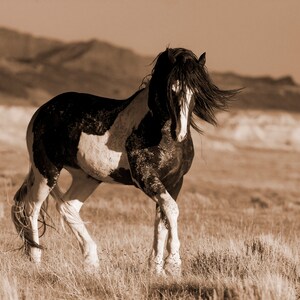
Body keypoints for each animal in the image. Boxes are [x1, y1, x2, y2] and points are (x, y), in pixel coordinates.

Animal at [10, 47, 238, 276]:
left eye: (196, 92)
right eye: (171, 89)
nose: (179, 133)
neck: (154, 128)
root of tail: (43, 110)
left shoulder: (174, 182)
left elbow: (163, 219)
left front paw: (156, 269)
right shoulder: (146, 178)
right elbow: (172, 210)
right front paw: (173, 265)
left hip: (86, 177)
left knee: (67, 207)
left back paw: (92, 262)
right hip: (46, 172)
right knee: (31, 208)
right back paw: (36, 259)